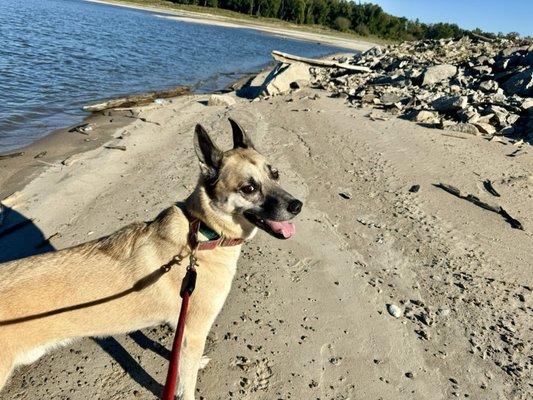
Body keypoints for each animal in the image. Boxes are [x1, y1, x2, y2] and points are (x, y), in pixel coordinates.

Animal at [0, 119, 302, 400]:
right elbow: (186, 382)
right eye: (248, 188)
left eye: (275, 173)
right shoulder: (194, 331)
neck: (204, 232)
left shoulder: (183, 328)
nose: (297, 205)